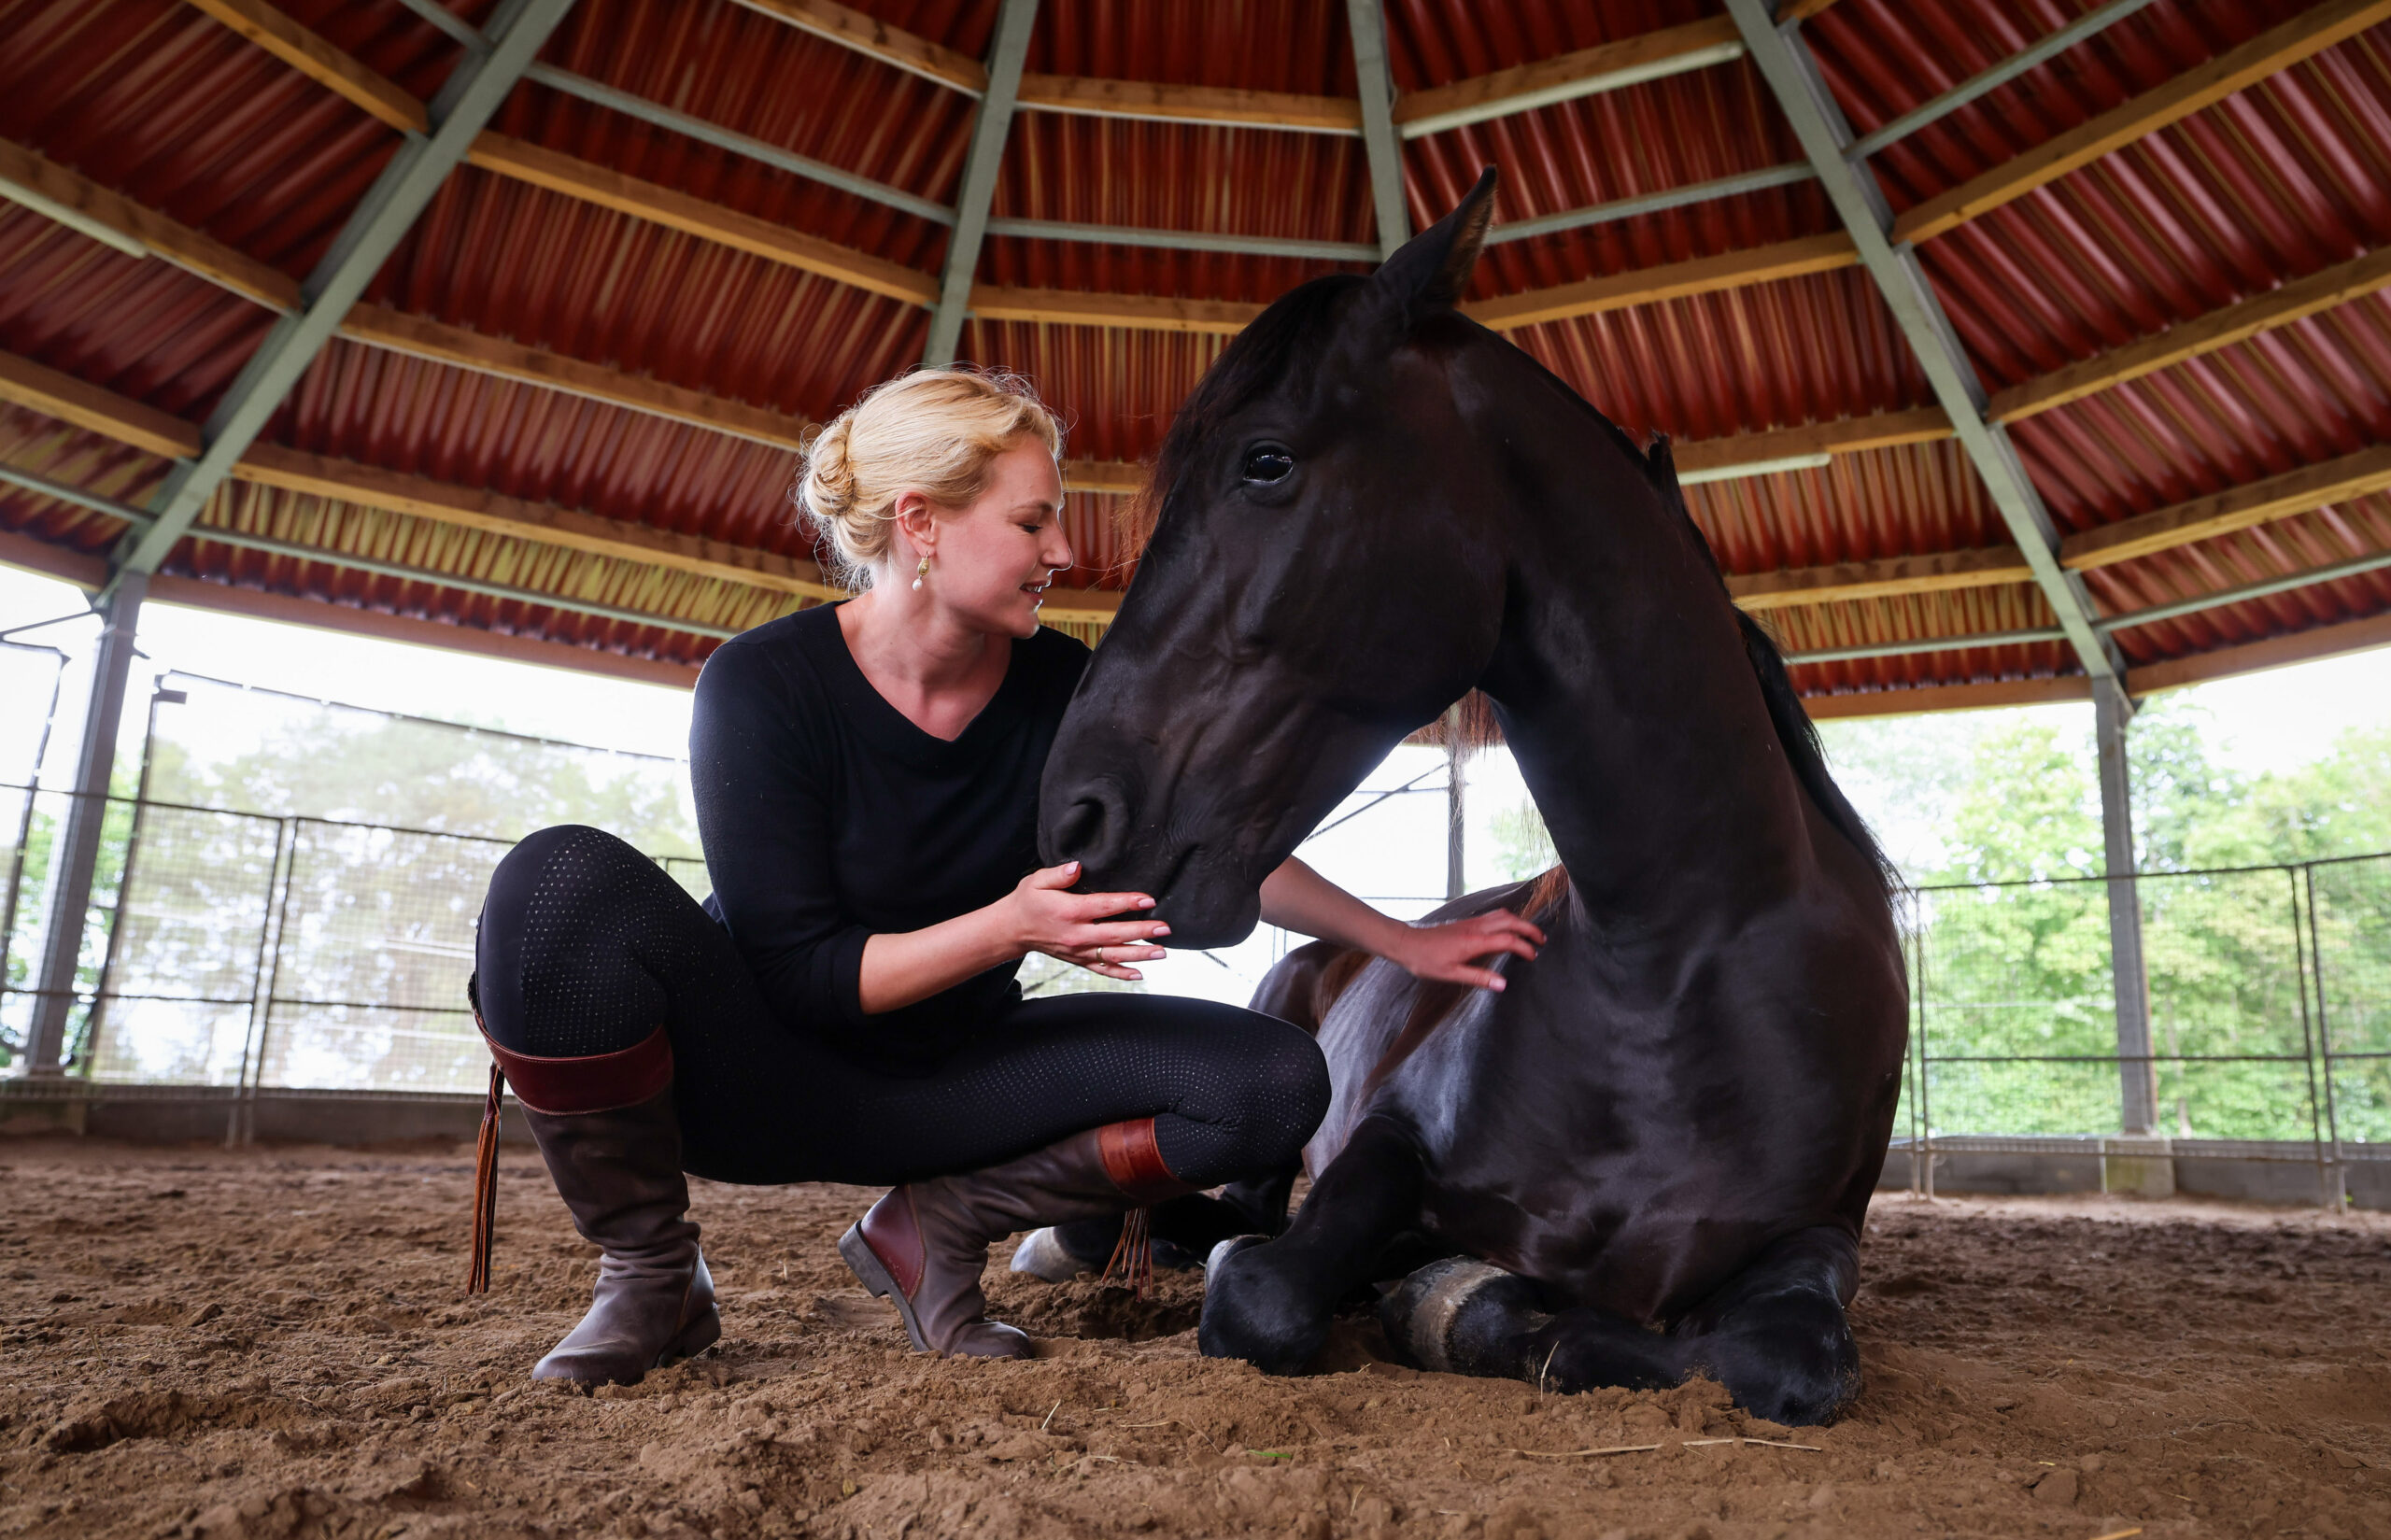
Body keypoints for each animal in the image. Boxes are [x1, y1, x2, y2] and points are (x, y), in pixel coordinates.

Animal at [1038, 171, 1913, 1434]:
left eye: (1266, 461)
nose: (1075, 818)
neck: (1679, 970)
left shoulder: (1818, 1235)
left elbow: (1783, 1361)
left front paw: (1448, 1295)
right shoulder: (1384, 1147)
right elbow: (1263, 1288)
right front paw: (1426, 1289)